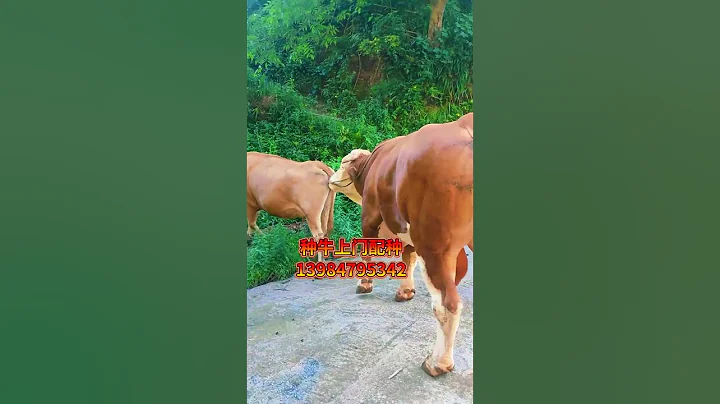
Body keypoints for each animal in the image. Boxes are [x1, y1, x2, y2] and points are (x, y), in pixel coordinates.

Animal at [327, 113, 474, 377]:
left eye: (344, 162)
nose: (330, 178)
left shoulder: (369, 216)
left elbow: (367, 252)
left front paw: (364, 284)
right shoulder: (407, 231)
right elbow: (408, 258)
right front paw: (406, 291)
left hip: (435, 245)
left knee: (447, 305)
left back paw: (438, 363)